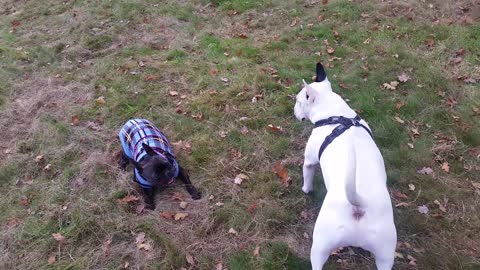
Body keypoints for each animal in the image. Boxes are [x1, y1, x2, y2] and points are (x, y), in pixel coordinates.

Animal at [294, 63, 396, 270]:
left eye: (298, 101)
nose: (293, 110)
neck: (336, 115)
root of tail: (359, 205)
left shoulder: (309, 161)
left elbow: (307, 176)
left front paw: (306, 190)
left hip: (320, 246)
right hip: (385, 255)